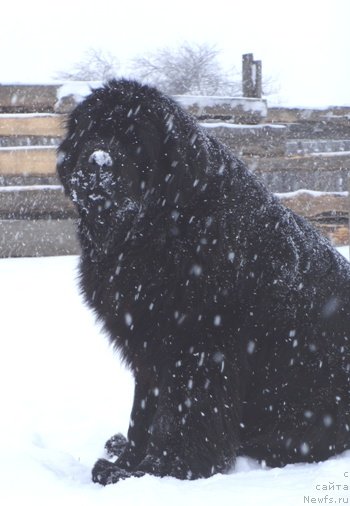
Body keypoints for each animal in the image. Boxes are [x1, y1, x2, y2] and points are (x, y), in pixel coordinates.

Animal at [57, 80, 350, 486]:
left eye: (135, 141)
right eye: (90, 132)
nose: (98, 162)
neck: (164, 227)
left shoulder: (198, 349)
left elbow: (184, 419)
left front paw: (159, 471)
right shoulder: (147, 348)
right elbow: (143, 414)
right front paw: (129, 461)